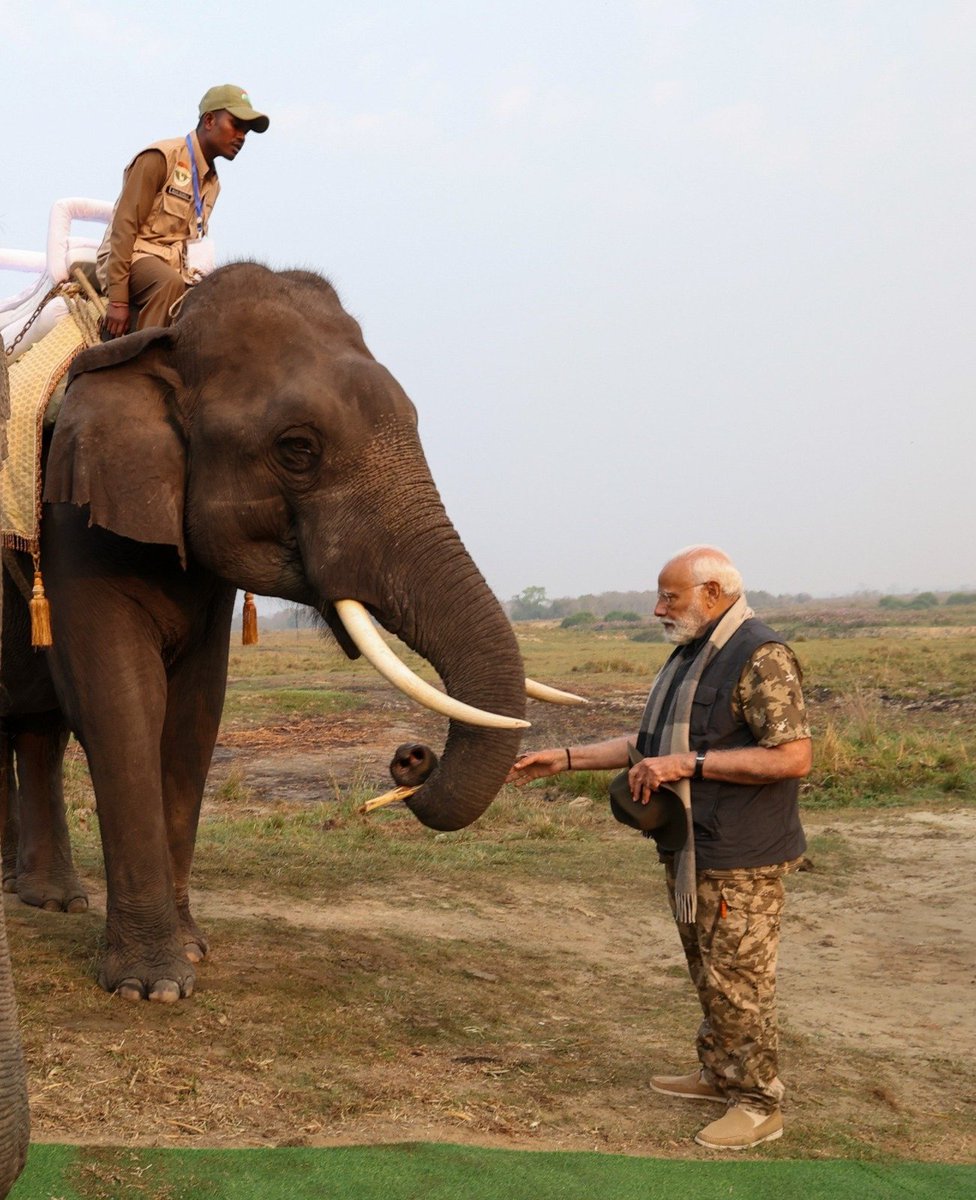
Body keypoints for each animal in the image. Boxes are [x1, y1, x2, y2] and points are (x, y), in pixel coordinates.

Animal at [0, 262, 534, 1006]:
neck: (164, 332)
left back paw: (49, 900)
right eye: (298, 449)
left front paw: (190, 953)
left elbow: (195, 712)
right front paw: (151, 989)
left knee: (35, 727)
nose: (411, 758)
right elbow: (120, 703)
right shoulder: (74, 511)